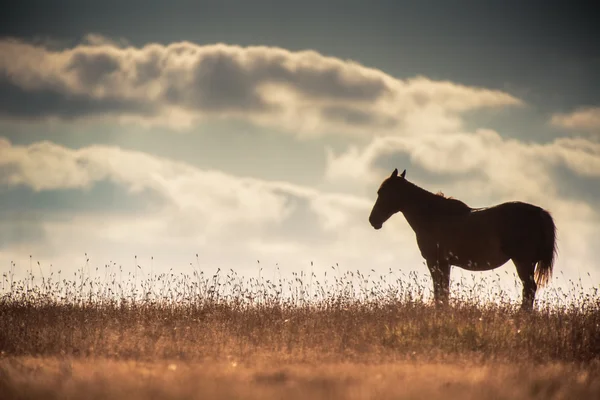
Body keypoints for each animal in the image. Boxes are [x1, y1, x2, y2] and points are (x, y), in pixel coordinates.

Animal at [368, 168, 560, 310]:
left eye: (383, 192)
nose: (373, 220)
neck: (434, 216)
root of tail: (539, 212)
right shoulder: (445, 264)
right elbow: (443, 290)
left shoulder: (435, 262)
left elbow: (440, 290)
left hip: (523, 262)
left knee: (529, 289)